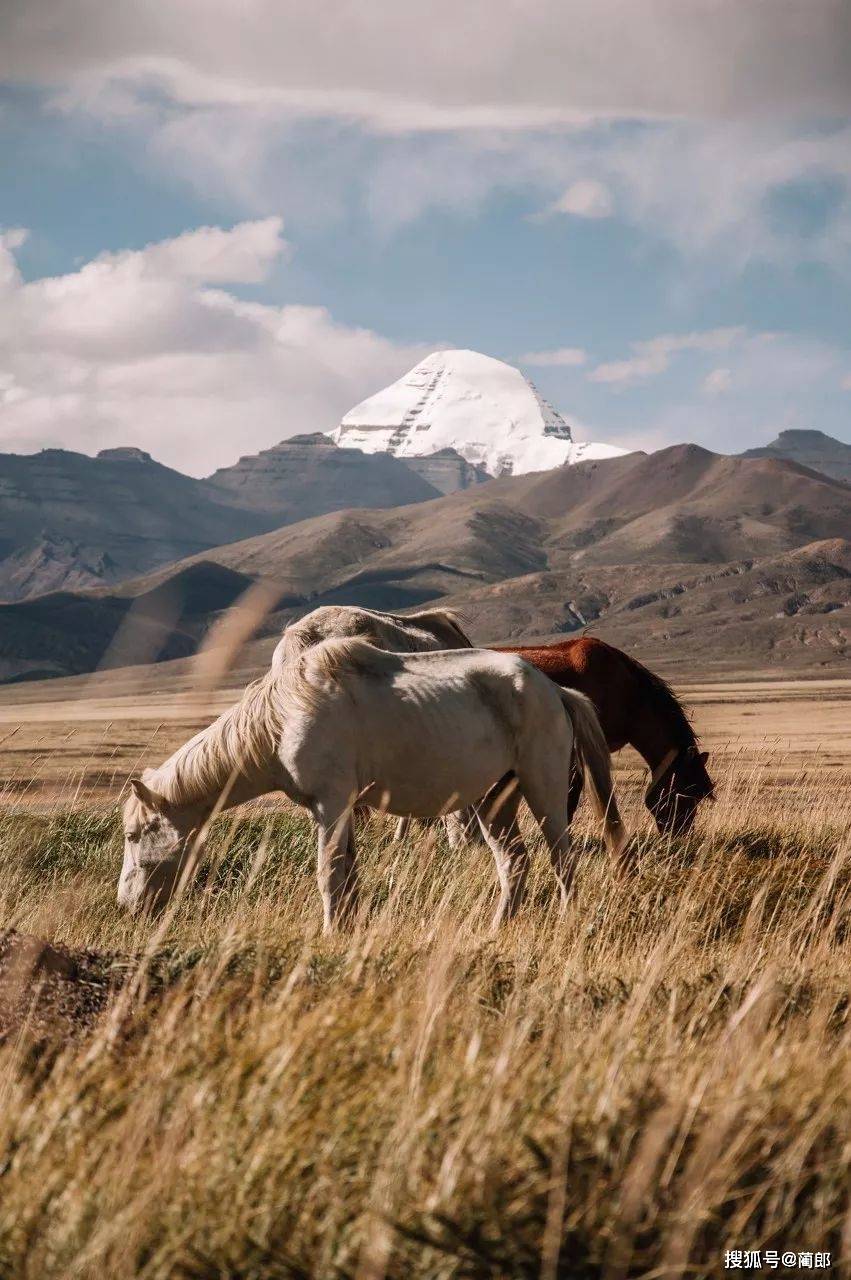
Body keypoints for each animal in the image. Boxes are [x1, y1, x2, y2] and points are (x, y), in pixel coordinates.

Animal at [117, 640, 624, 931]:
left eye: (133, 835)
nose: (126, 904)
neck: (284, 716)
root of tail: (554, 691)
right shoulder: (328, 809)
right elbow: (347, 873)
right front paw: (346, 926)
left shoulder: (332, 803)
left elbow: (328, 874)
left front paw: (329, 932)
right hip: (494, 801)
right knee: (513, 863)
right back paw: (497, 928)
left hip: (543, 789)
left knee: (562, 857)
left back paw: (566, 921)